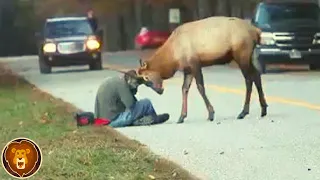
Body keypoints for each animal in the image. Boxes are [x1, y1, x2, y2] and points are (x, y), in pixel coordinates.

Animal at [135, 15, 268, 124]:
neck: (173, 57)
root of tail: (256, 31)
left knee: (248, 79)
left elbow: (200, 87)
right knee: (257, 75)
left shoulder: (195, 64)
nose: (159, 91)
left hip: (241, 54)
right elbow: (184, 89)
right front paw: (181, 117)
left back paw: (243, 112)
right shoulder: (187, 69)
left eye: (146, 77)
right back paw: (263, 109)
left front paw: (211, 114)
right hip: (249, 55)